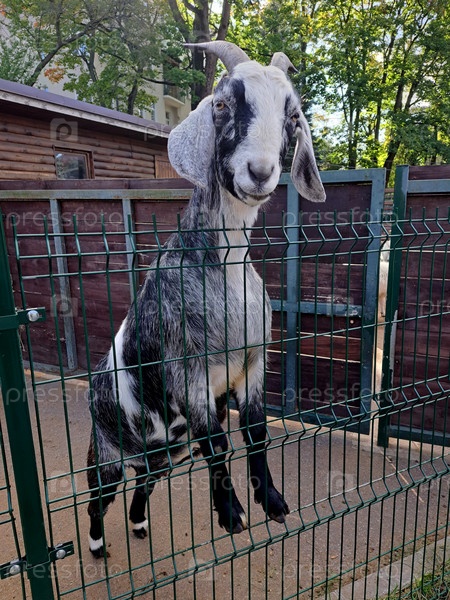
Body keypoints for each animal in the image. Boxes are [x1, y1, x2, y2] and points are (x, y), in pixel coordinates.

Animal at [86, 41, 326, 558]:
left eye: (291, 116)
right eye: (222, 104)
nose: (260, 172)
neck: (223, 273)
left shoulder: (253, 359)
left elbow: (254, 432)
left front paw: (272, 502)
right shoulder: (189, 371)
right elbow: (216, 442)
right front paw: (231, 514)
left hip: (166, 453)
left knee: (144, 483)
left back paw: (139, 524)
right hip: (107, 449)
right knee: (98, 494)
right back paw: (96, 546)